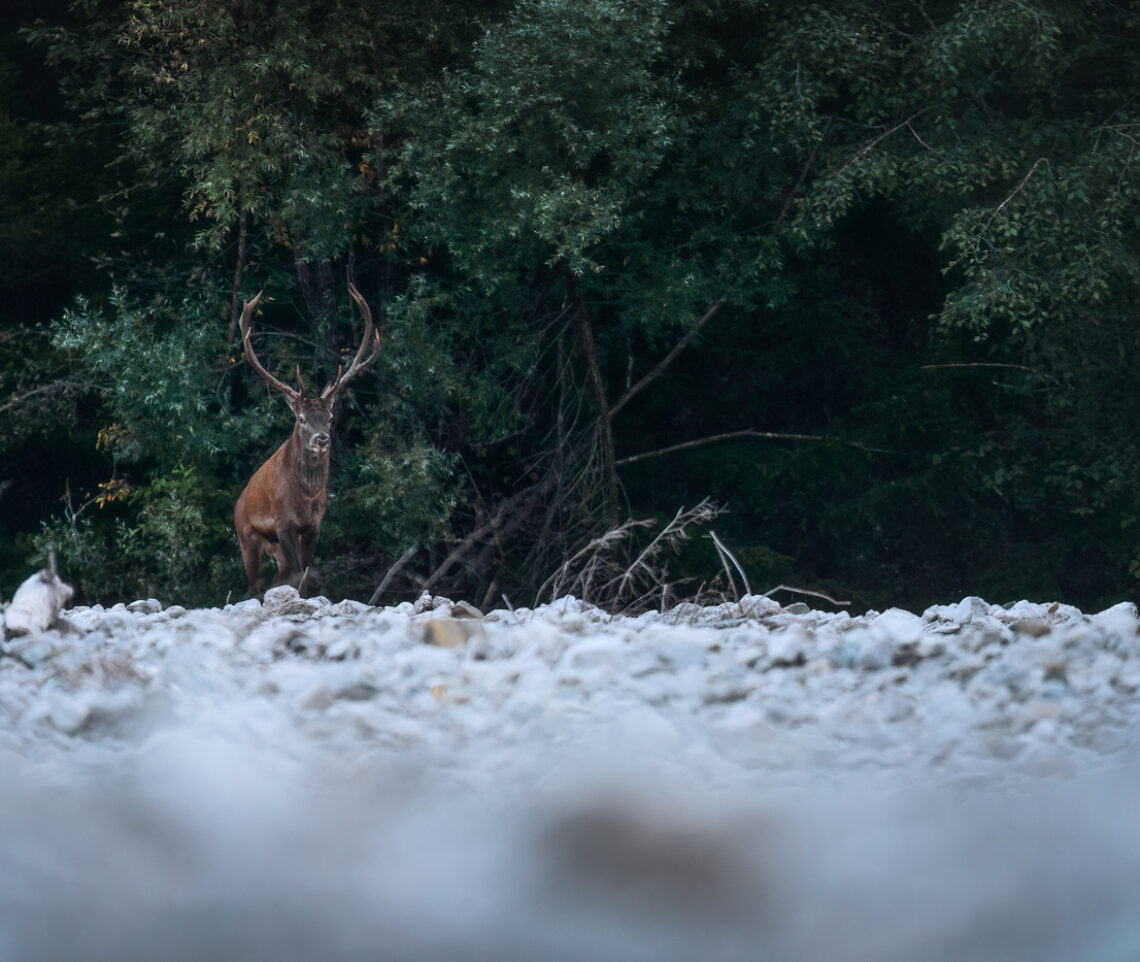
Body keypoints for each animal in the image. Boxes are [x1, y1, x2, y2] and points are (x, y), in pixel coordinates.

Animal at [233, 281, 380, 597]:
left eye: (330, 417)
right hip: (246, 536)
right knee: (253, 584)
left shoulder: (314, 525)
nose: (321, 439)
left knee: (277, 576)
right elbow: (301, 573)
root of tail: (238, 501)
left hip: (273, 545)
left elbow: (307, 570)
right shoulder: (282, 522)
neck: (305, 498)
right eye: (301, 419)